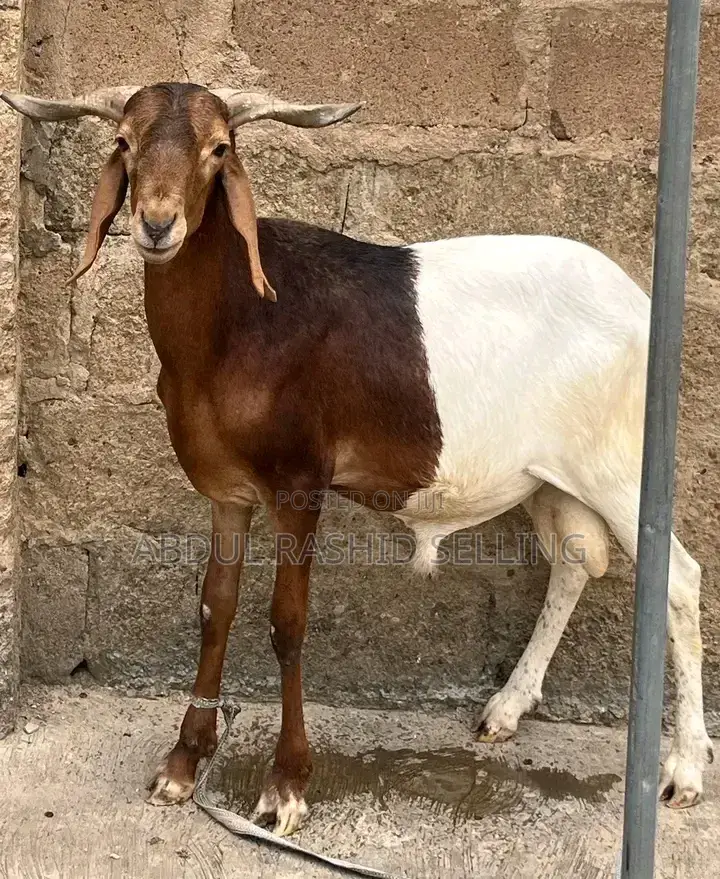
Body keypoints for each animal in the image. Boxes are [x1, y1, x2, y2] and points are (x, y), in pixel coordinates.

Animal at [2, 82, 713, 837]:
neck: (238, 324)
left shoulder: (299, 483)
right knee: (579, 559)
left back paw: (684, 769)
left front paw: (285, 785)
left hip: (621, 466)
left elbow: (288, 622)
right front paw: (184, 763)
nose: (158, 224)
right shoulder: (227, 491)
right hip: (553, 475)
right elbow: (215, 608)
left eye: (219, 148)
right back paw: (507, 707)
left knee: (679, 579)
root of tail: (641, 306)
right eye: (125, 142)